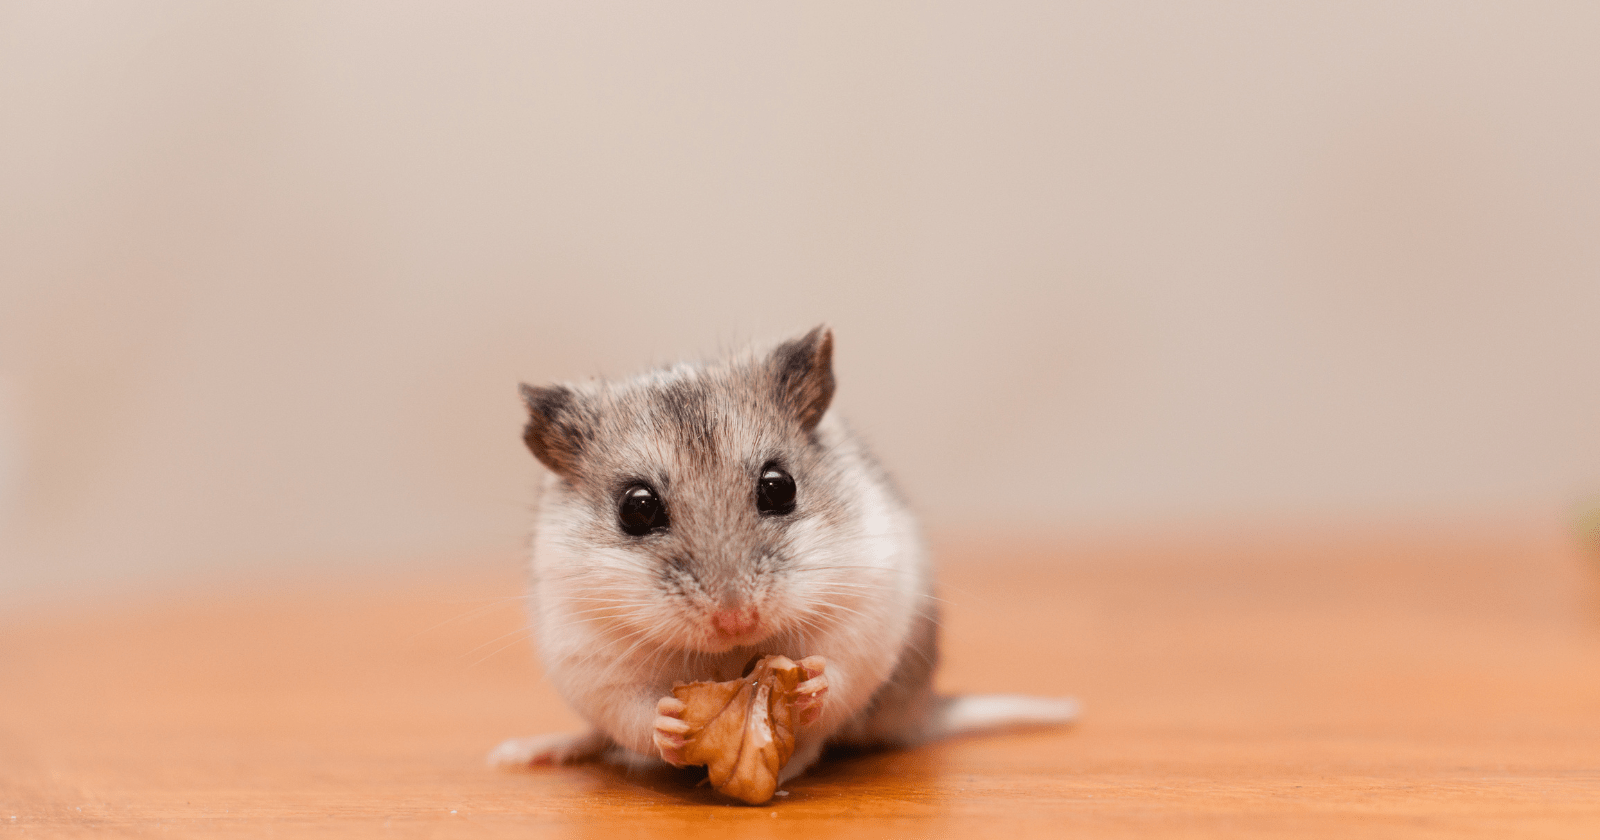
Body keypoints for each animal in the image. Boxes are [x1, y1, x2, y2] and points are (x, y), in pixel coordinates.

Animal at [489, 326, 1078, 783]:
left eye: (779, 487)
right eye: (636, 508)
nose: (736, 620)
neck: (730, 655)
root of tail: (921, 711)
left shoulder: (864, 613)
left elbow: (837, 674)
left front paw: (812, 684)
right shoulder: (592, 659)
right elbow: (635, 712)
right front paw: (670, 722)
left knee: (824, 742)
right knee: (597, 733)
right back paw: (528, 752)